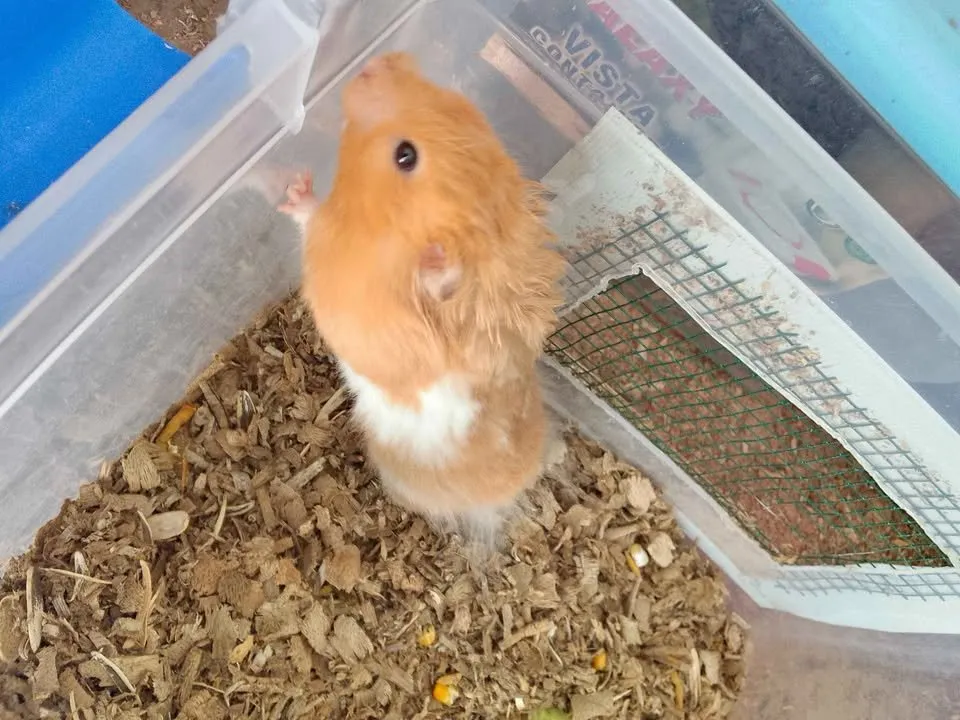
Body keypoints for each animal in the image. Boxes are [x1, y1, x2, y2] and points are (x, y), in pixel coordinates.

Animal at [279, 52, 566, 542]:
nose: (374, 64)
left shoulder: (328, 245)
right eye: (456, 101)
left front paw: (292, 191)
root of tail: (511, 490)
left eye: (405, 155)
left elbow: (310, 218)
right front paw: (294, 185)